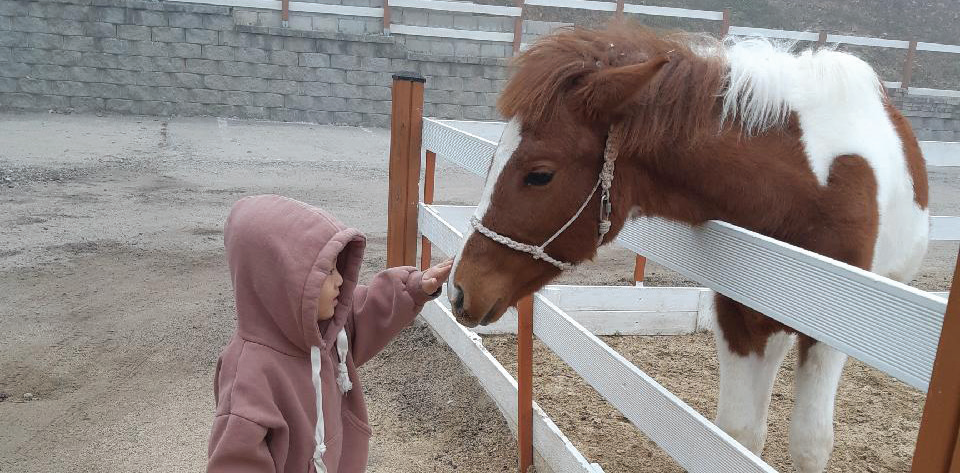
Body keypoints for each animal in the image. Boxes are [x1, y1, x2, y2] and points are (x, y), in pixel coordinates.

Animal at [444, 23, 928, 472]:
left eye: (540, 175)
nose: (459, 290)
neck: (803, 191)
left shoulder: (830, 331)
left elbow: (810, 445)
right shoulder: (738, 317)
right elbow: (737, 437)